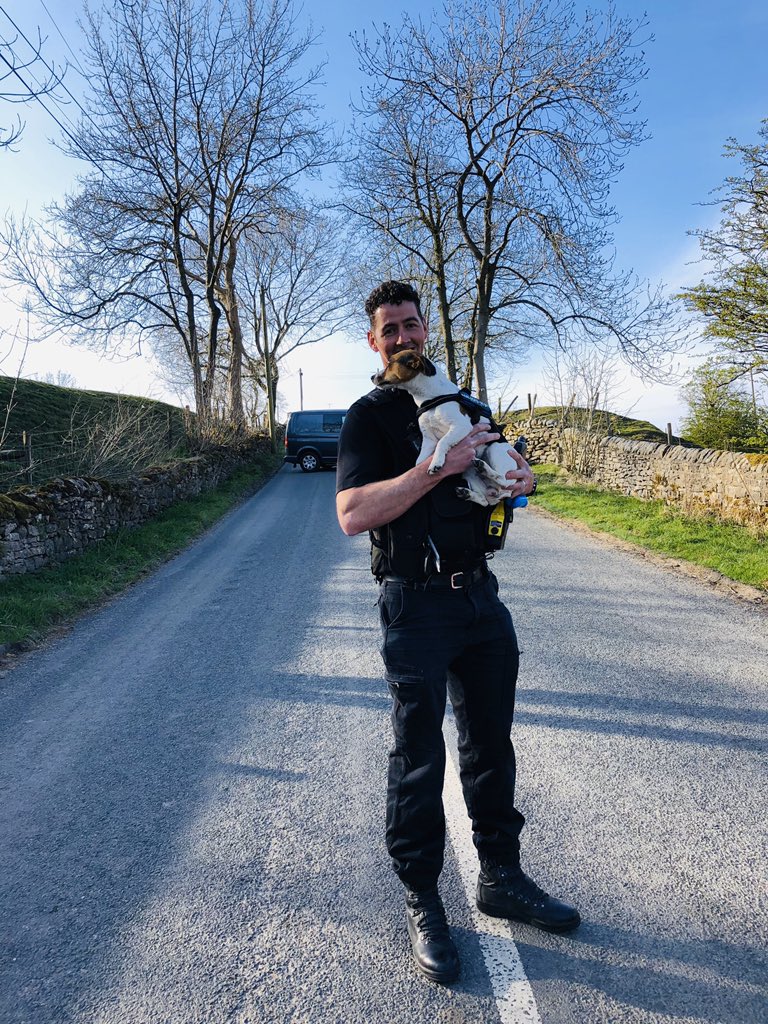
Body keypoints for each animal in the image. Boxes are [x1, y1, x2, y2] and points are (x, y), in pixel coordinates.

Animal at [372, 352, 518, 507]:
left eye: (390, 363)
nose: (371, 377)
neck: (431, 398)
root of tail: (500, 493)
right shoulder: (428, 440)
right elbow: (419, 461)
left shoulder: (461, 426)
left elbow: (442, 442)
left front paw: (435, 463)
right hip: (469, 473)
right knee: (485, 500)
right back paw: (468, 493)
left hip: (495, 449)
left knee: (504, 480)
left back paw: (485, 468)